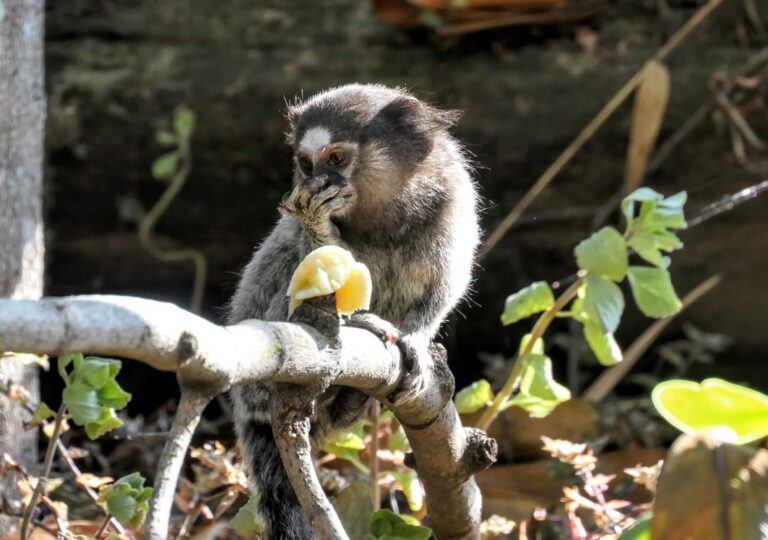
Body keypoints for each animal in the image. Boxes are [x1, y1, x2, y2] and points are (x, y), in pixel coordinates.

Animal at [227, 83, 480, 539]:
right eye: (306, 163)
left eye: (336, 159)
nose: (317, 179)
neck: (387, 218)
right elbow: (319, 264)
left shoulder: (454, 202)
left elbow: (445, 286)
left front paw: (418, 339)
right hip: (257, 385)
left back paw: (349, 398)